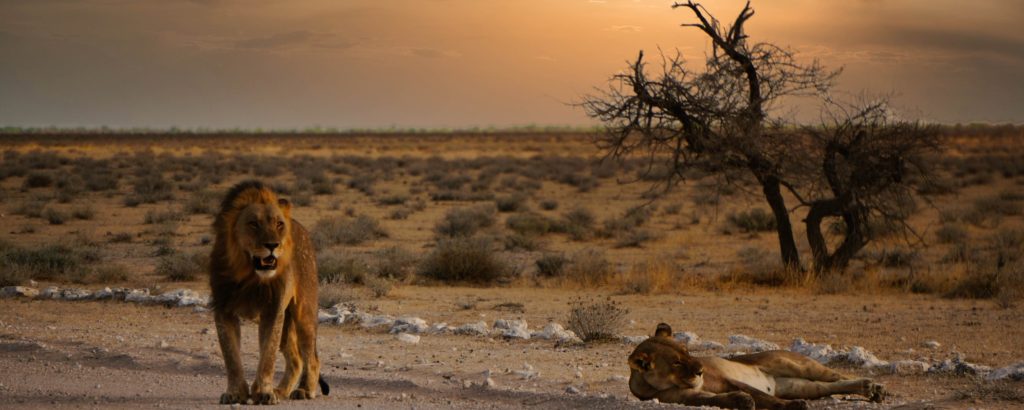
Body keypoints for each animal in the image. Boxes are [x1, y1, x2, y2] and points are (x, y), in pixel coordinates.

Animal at [209, 180, 329, 403]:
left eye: (278, 224)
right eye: (253, 224)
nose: (273, 245)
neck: (248, 275)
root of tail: (301, 227)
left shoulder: (273, 310)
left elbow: (268, 354)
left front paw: (263, 393)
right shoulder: (223, 309)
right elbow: (231, 356)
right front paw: (235, 393)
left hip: (304, 314)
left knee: (312, 357)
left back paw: (304, 390)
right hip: (287, 322)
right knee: (296, 360)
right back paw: (281, 391)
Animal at [626, 323, 884, 410]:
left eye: (687, 352)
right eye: (676, 362)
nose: (700, 371)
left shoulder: (728, 379)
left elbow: (761, 395)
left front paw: (790, 406)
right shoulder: (685, 397)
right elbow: (715, 399)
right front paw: (741, 401)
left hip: (798, 366)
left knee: (837, 377)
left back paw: (875, 388)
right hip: (800, 386)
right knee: (827, 387)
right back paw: (869, 390)